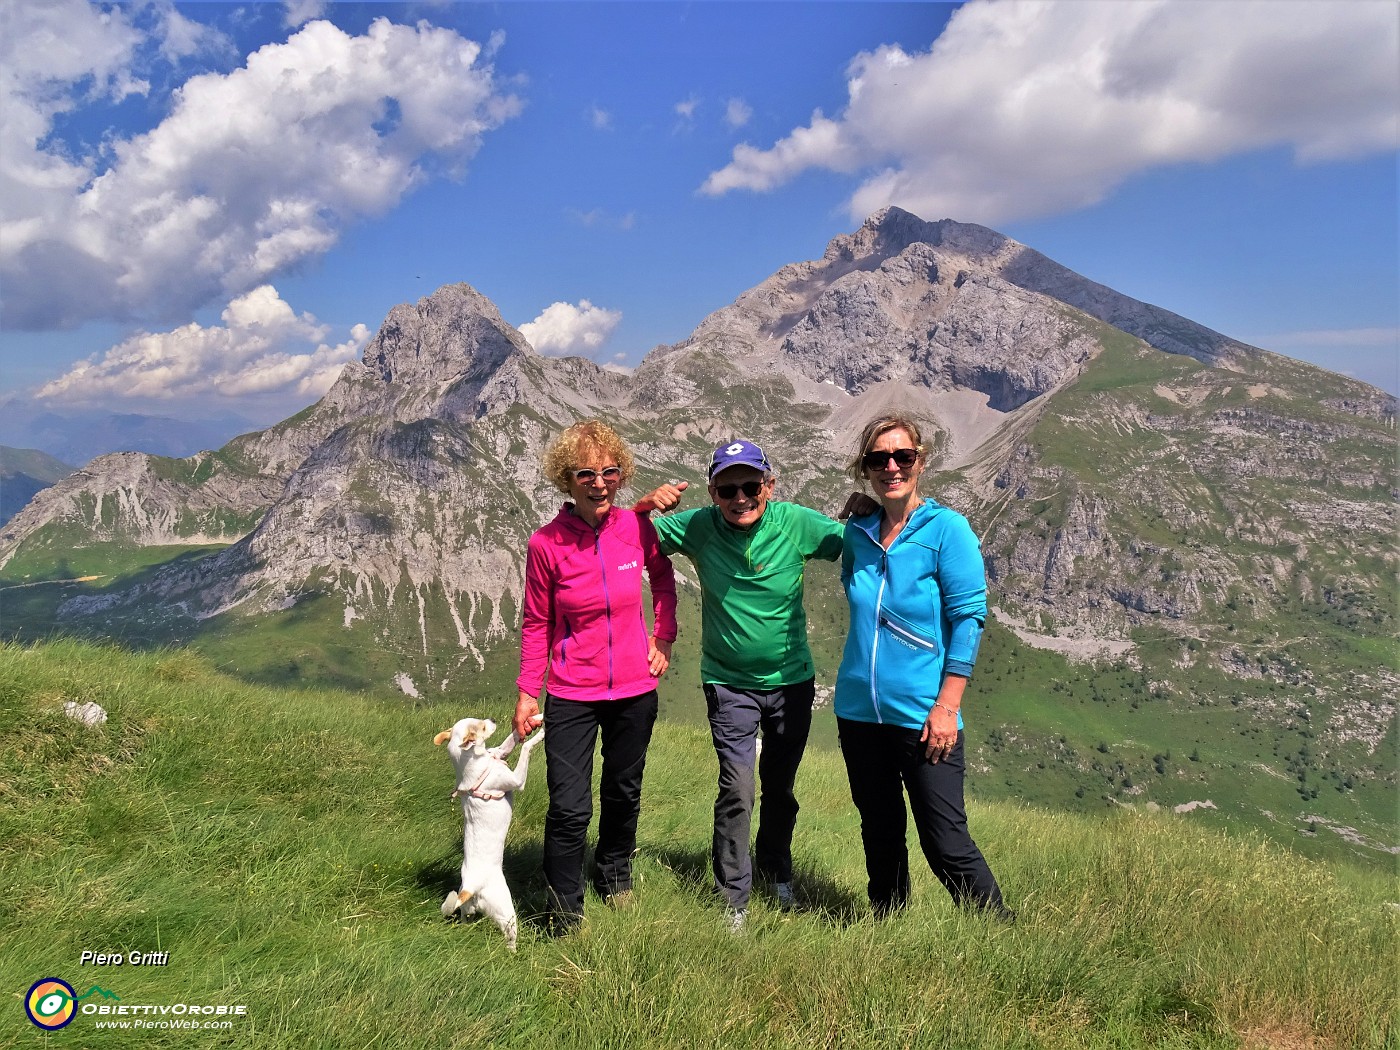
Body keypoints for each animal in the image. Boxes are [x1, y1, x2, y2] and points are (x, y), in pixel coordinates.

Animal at [431, 716, 546, 952]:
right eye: (482, 727)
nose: (492, 719)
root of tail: (471, 887)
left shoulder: (500, 752)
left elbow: (513, 738)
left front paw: (536, 719)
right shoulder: (517, 780)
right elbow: (526, 748)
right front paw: (541, 733)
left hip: (467, 910)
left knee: (465, 919)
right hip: (506, 912)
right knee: (510, 936)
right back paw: (514, 953)